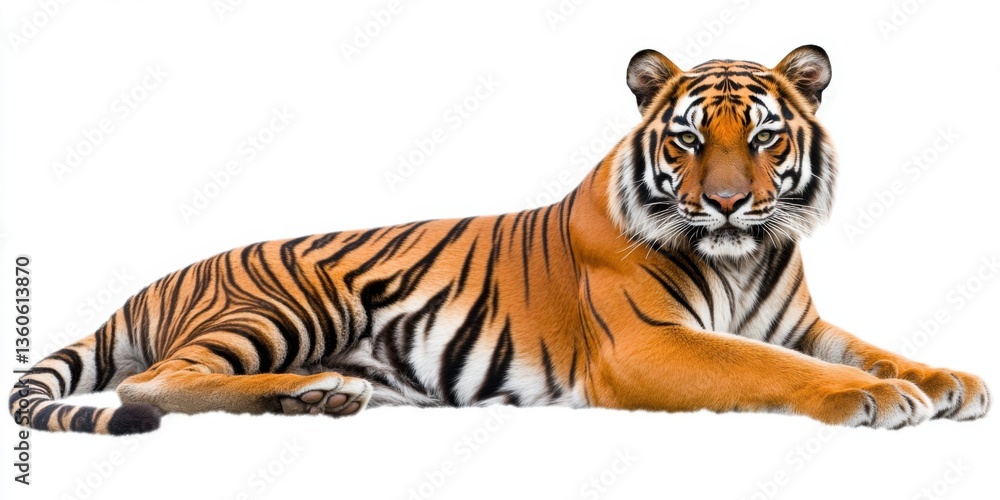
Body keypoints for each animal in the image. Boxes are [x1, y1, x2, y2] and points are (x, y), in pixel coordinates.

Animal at [9, 45, 990, 435]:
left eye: (763, 138)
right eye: (686, 140)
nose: (723, 205)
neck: (743, 259)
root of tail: (150, 285)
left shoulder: (798, 322)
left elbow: (871, 346)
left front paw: (949, 381)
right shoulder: (647, 346)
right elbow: (779, 370)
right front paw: (878, 398)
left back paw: (323, 397)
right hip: (290, 302)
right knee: (152, 382)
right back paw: (320, 391)